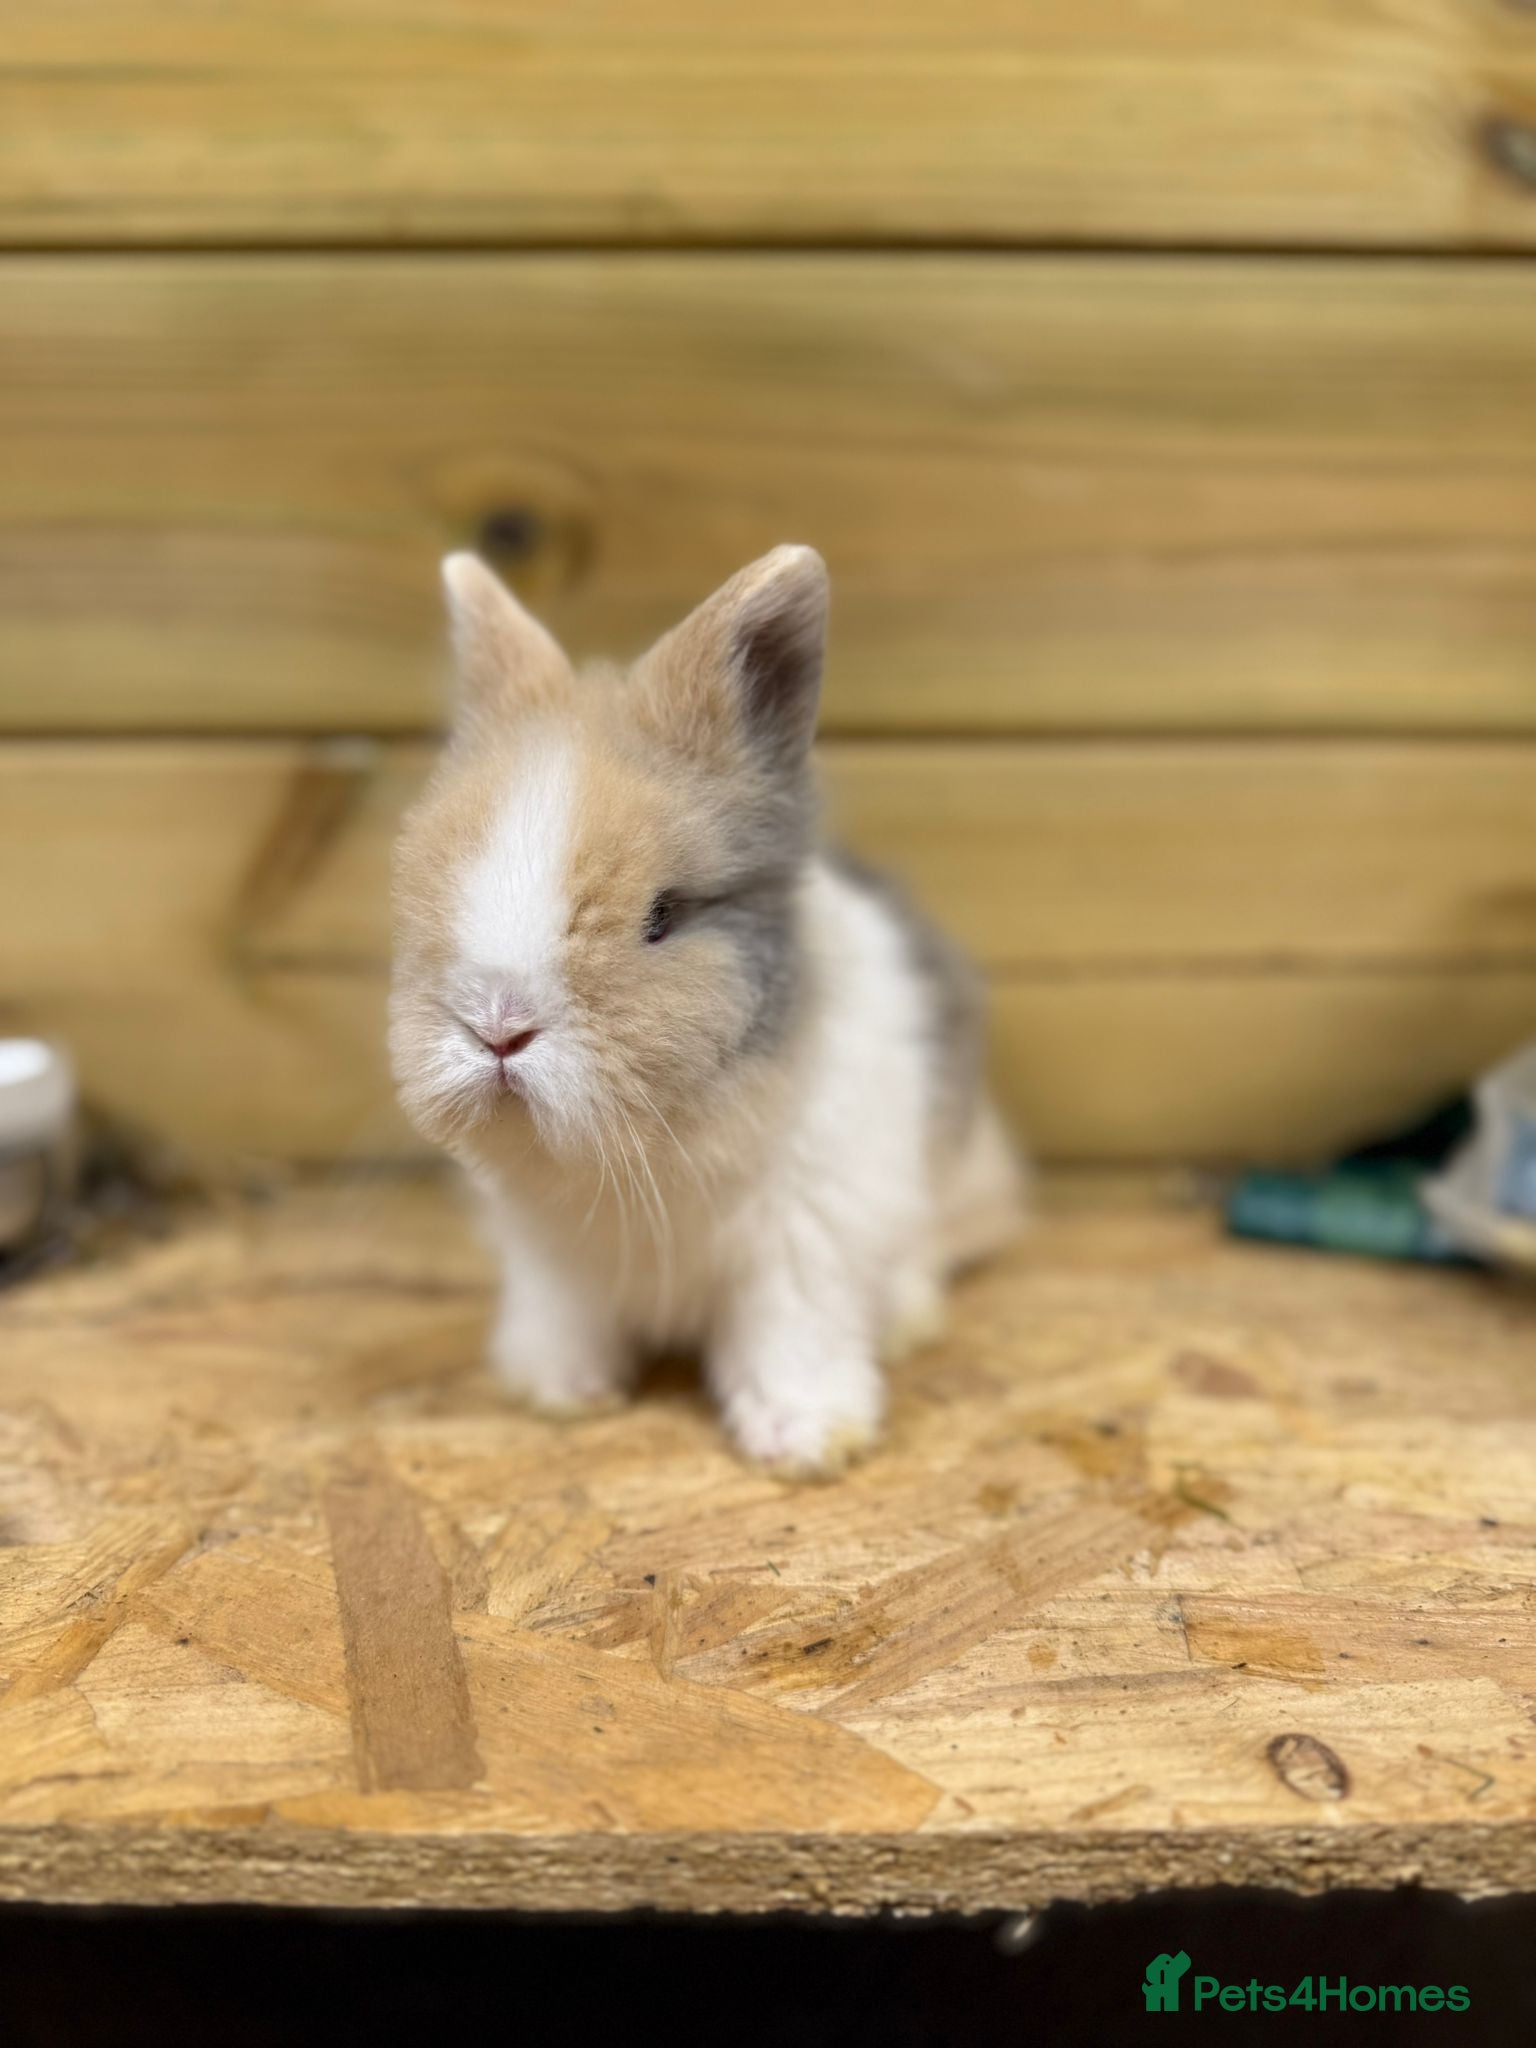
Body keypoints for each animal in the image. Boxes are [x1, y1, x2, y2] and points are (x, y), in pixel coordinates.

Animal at [389, 544, 1025, 1475]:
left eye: (664, 915)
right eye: (425, 889)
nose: (498, 1026)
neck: (648, 1152)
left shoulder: (803, 1247)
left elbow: (791, 1340)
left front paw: (806, 1442)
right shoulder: (553, 1258)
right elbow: (565, 1321)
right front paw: (558, 1392)